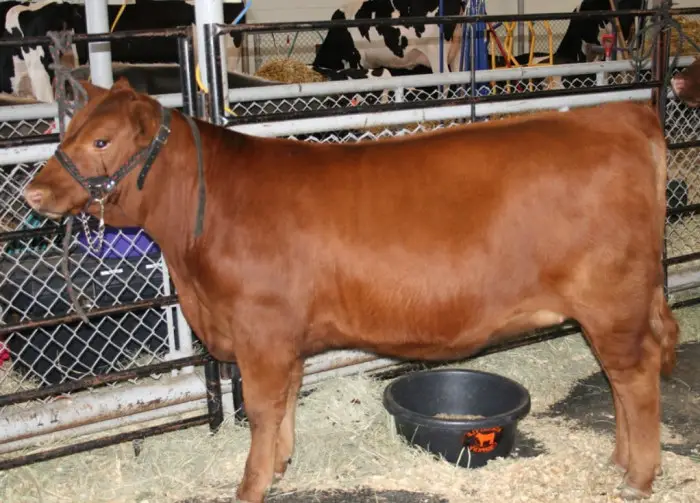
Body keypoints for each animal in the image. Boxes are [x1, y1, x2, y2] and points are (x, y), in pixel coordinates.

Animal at [23, 77, 680, 502]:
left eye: (102, 141)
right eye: (69, 129)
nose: (32, 192)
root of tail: (621, 115)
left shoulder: (260, 329)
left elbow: (261, 409)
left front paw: (251, 485)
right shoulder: (282, 337)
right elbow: (286, 402)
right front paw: (280, 467)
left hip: (611, 302)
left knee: (636, 377)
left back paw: (637, 477)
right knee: (625, 379)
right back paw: (621, 461)